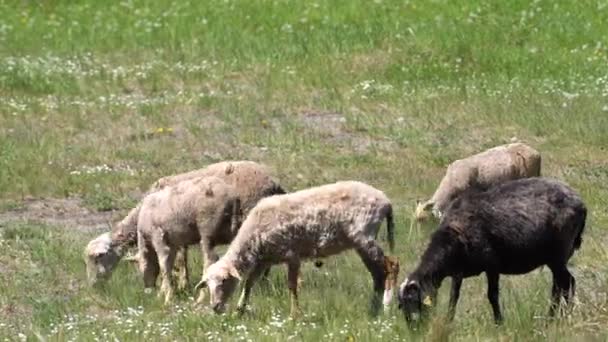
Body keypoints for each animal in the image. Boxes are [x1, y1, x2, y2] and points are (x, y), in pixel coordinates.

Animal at [84, 160, 286, 286]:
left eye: (98, 257)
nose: (93, 286)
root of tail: (274, 183)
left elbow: (180, 259)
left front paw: (180, 283)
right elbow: (182, 257)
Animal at [138, 175, 242, 304]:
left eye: (141, 269)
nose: (148, 290)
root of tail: (233, 197)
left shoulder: (158, 236)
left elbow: (163, 264)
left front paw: (167, 298)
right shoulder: (172, 243)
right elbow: (169, 264)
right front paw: (162, 293)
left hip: (207, 227)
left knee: (209, 260)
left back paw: (201, 296)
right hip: (232, 229)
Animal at [194, 180, 394, 316]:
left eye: (224, 281)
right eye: (208, 285)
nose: (215, 307)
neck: (253, 236)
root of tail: (385, 201)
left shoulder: (292, 255)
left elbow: (292, 286)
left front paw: (295, 315)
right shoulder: (265, 259)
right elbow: (250, 283)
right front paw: (239, 310)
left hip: (365, 234)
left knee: (391, 267)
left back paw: (385, 308)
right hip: (362, 242)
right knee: (377, 275)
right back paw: (374, 310)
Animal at [396, 178, 588, 324]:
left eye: (415, 301)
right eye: (402, 306)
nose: (415, 330)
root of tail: (580, 203)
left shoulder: (492, 265)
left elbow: (492, 296)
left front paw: (498, 322)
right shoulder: (458, 272)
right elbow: (453, 298)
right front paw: (448, 323)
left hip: (558, 254)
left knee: (567, 283)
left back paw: (557, 318)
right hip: (554, 258)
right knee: (559, 285)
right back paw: (556, 317)